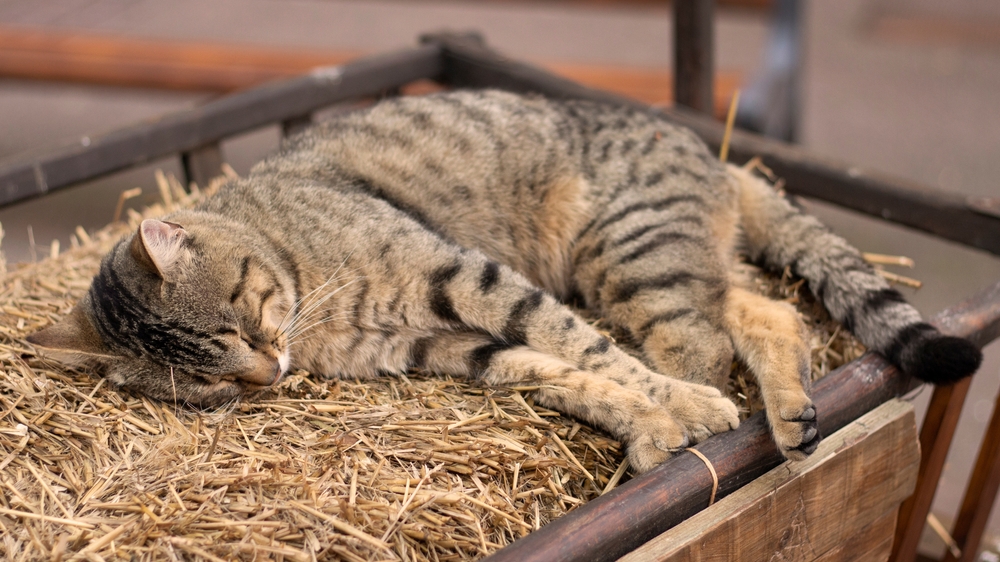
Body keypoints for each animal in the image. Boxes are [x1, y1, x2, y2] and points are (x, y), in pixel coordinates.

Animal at [27, 89, 980, 470]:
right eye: (206, 387)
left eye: (232, 327)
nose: (268, 373)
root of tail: (718, 158)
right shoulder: (442, 346)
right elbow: (553, 374)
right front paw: (647, 420)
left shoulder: (466, 279)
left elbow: (583, 350)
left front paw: (673, 415)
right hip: (659, 262)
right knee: (764, 310)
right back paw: (788, 416)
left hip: (625, 255)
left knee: (699, 340)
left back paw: (705, 421)